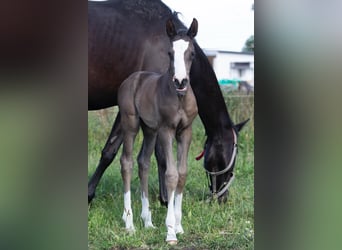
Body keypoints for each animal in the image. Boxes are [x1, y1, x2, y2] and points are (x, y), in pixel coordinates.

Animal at [117, 18, 198, 244]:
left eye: (192, 53)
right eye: (170, 53)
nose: (180, 81)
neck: (179, 98)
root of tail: (133, 78)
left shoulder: (185, 132)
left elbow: (182, 173)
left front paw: (179, 226)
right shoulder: (166, 130)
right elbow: (170, 174)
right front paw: (170, 231)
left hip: (149, 130)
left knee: (143, 162)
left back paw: (147, 221)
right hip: (131, 124)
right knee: (126, 162)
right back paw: (129, 223)